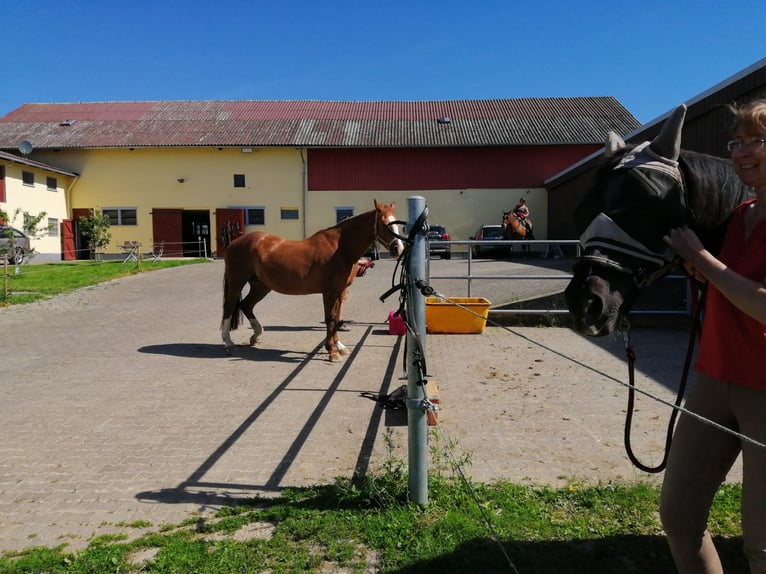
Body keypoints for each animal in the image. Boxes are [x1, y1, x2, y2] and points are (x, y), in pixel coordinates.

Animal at [222, 200, 404, 362]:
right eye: (384, 224)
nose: (398, 249)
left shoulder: (339, 292)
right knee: (229, 307)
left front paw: (338, 346)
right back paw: (229, 343)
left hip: (261, 286)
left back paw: (256, 335)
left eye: (398, 224)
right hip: (237, 283)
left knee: (246, 305)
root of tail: (234, 243)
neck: (340, 248)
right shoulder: (329, 293)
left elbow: (337, 318)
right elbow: (330, 318)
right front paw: (332, 351)